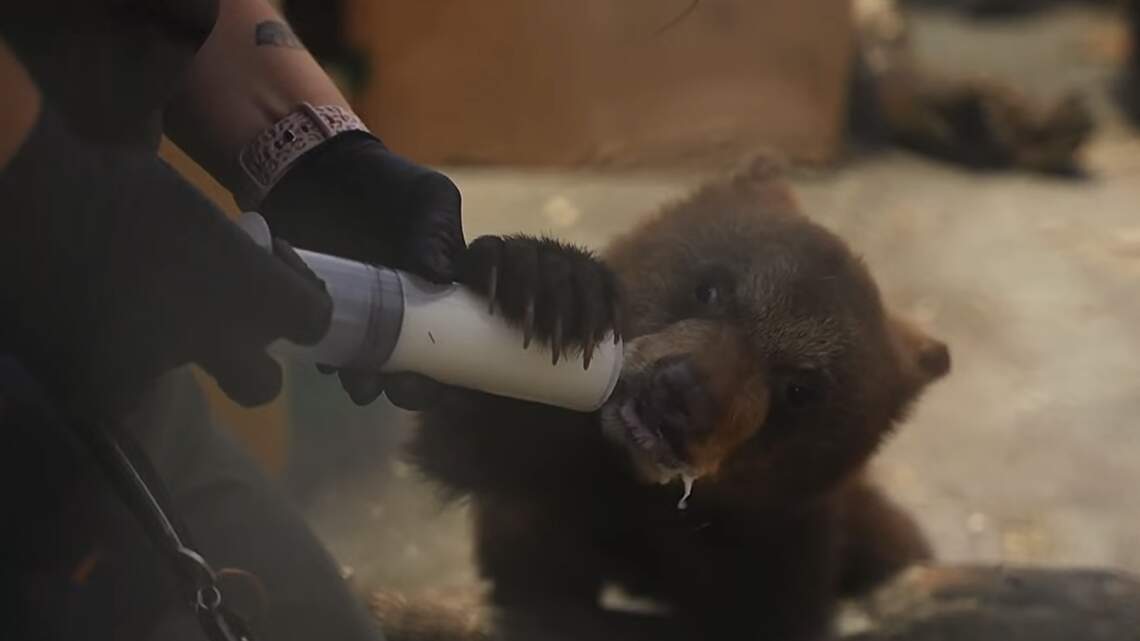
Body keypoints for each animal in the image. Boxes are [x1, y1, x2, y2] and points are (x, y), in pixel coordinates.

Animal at [402, 158, 951, 641]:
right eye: (710, 288)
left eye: (800, 390)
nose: (681, 393)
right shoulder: (545, 491)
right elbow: (470, 445)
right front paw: (546, 282)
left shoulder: (781, 551)